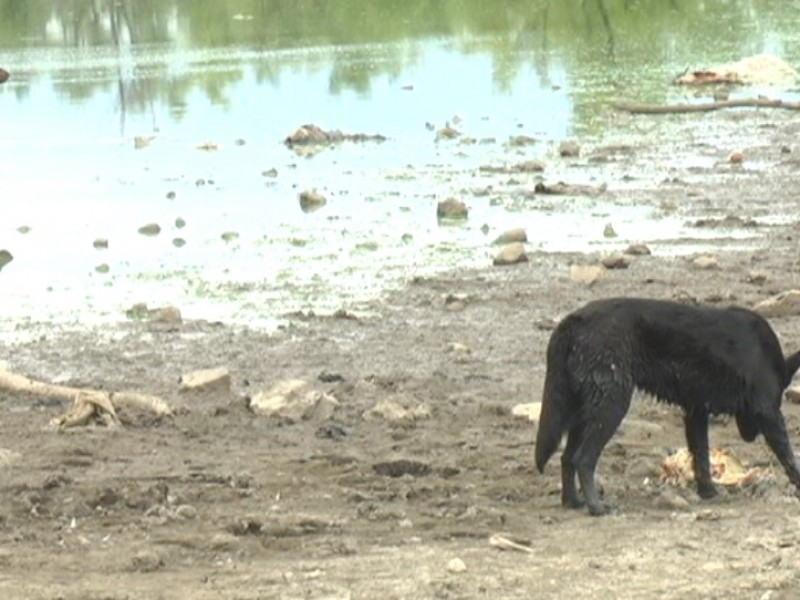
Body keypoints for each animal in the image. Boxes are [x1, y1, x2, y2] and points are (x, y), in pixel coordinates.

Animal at [536, 298, 800, 512]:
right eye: (779, 396)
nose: (750, 438)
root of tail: (573, 321)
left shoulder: (696, 412)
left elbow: (701, 456)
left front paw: (708, 492)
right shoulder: (767, 411)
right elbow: (787, 453)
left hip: (583, 410)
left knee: (567, 457)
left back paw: (572, 502)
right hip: (610, 407)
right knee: (583, 458)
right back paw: (596, 507)